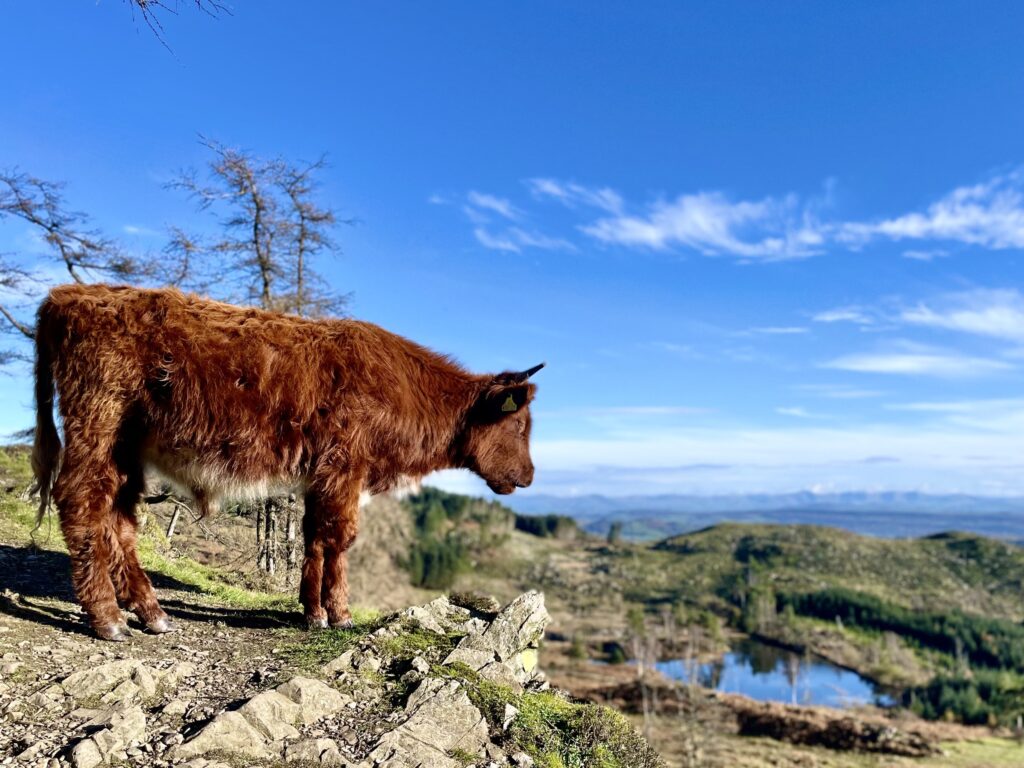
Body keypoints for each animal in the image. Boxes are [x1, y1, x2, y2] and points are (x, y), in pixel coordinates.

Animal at [32, 286, 544, 638]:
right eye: (520, 425)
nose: (530, 475)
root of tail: (69, 295)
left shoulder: (320, 476)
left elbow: (313, 538)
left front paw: (311, 611)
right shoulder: (345, 468)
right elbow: (339, 539)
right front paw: (339, 614)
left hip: (125, 448)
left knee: (119, 519)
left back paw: (151, 612)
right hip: (97, 424)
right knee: (80, 503)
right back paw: (107, 618)